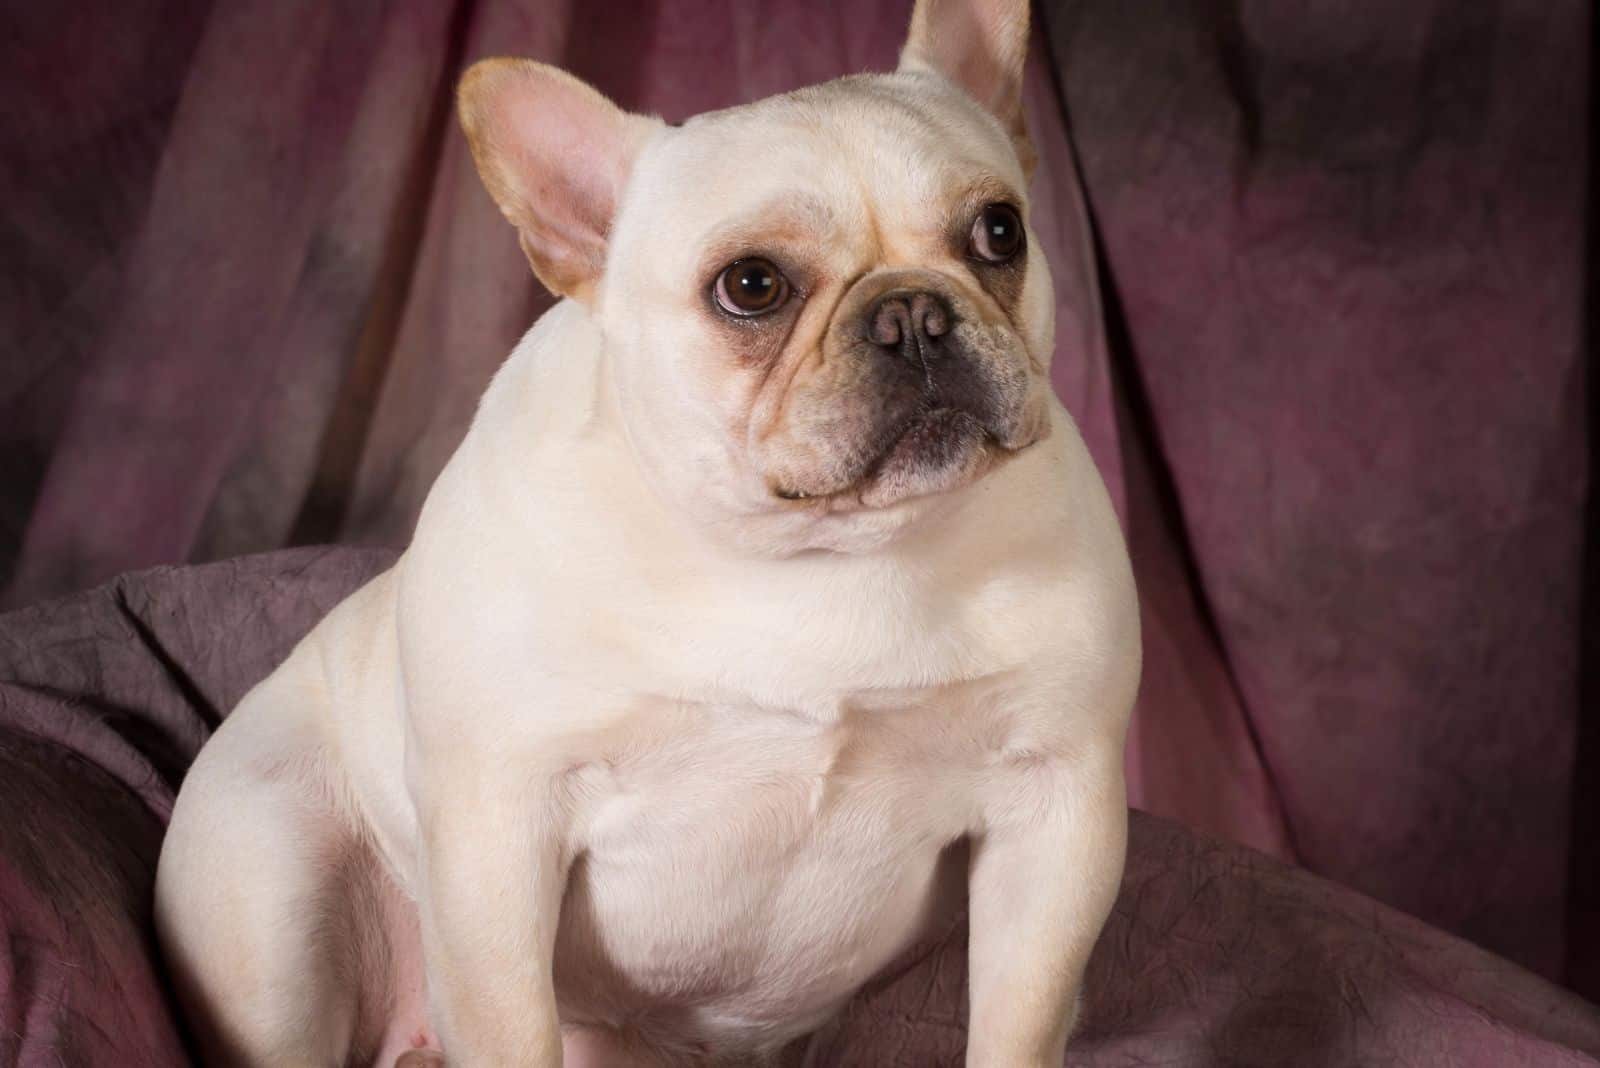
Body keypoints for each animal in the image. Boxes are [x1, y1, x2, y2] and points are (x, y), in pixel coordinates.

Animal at [152, 0, 1139, 1061]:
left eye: (1000, 231)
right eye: (751, 286)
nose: (912, 314)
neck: (812, 558)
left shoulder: (1059, 803)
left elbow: (1019, 1021)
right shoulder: (497, 835)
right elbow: (510, 1026)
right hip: (274, 891)